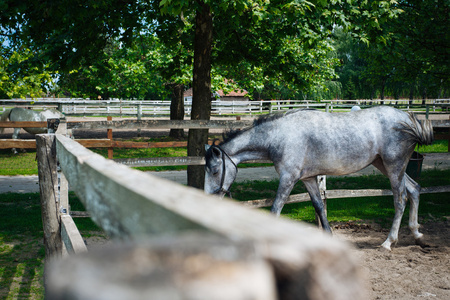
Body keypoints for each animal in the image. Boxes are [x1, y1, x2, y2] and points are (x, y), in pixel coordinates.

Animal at [204, 106, 432, 251]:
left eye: (214, 170)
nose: (209, 199)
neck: (279, 136)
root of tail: (408, 120)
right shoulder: (308, 179)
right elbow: (319, 207)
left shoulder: (288, 178)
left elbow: (276, 208)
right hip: (385, 165)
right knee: (414, 189)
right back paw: (418, 236)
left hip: (394, 167)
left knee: (400, 200)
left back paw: (388, 242)